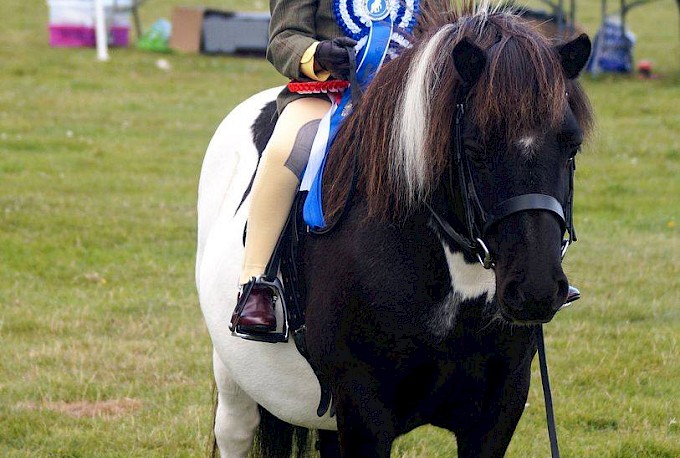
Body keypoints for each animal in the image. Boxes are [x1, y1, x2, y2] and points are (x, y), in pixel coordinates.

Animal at [194, 1, 592, 456]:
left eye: (571, 145)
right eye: (474, 147)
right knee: (235, 431)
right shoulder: (365, 413)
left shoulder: (499, 410)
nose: (535, 289)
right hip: (233, 373)